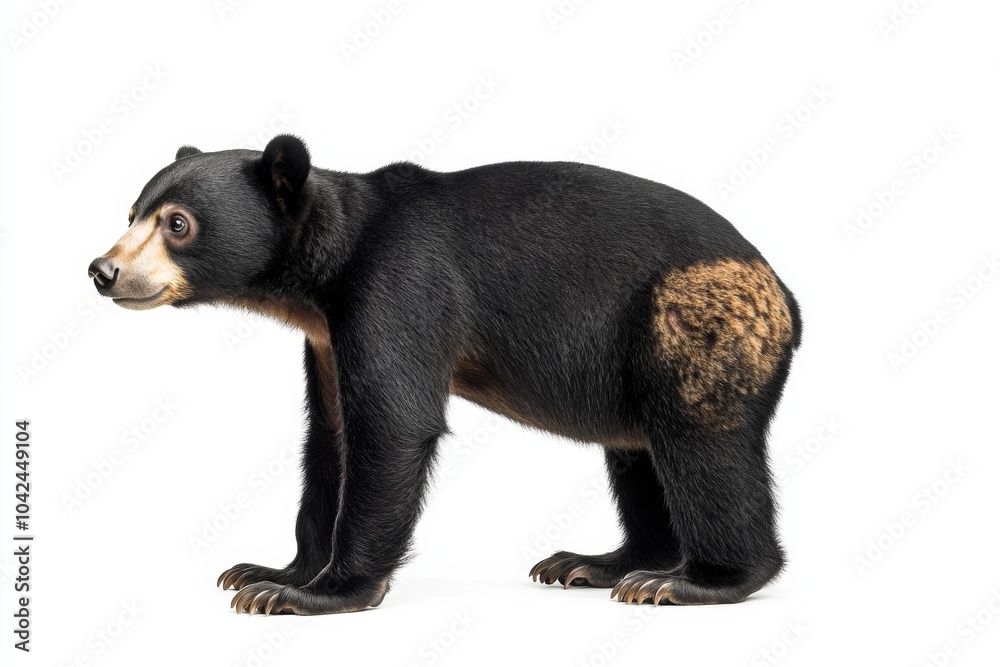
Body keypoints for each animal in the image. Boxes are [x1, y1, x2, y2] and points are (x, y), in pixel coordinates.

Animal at [88, 135, 801, 615]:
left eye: (178, 224)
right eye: (131, 213)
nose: (103, 270)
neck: (327, 268)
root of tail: (784, 296)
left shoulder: (399, 288)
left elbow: (393, 425)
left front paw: (319, 592)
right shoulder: (324, 335)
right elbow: (329, 438)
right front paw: (271, 570)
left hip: (689, 322)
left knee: (700, 443)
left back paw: (693, 580)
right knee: (635, 450)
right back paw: (600, 563)